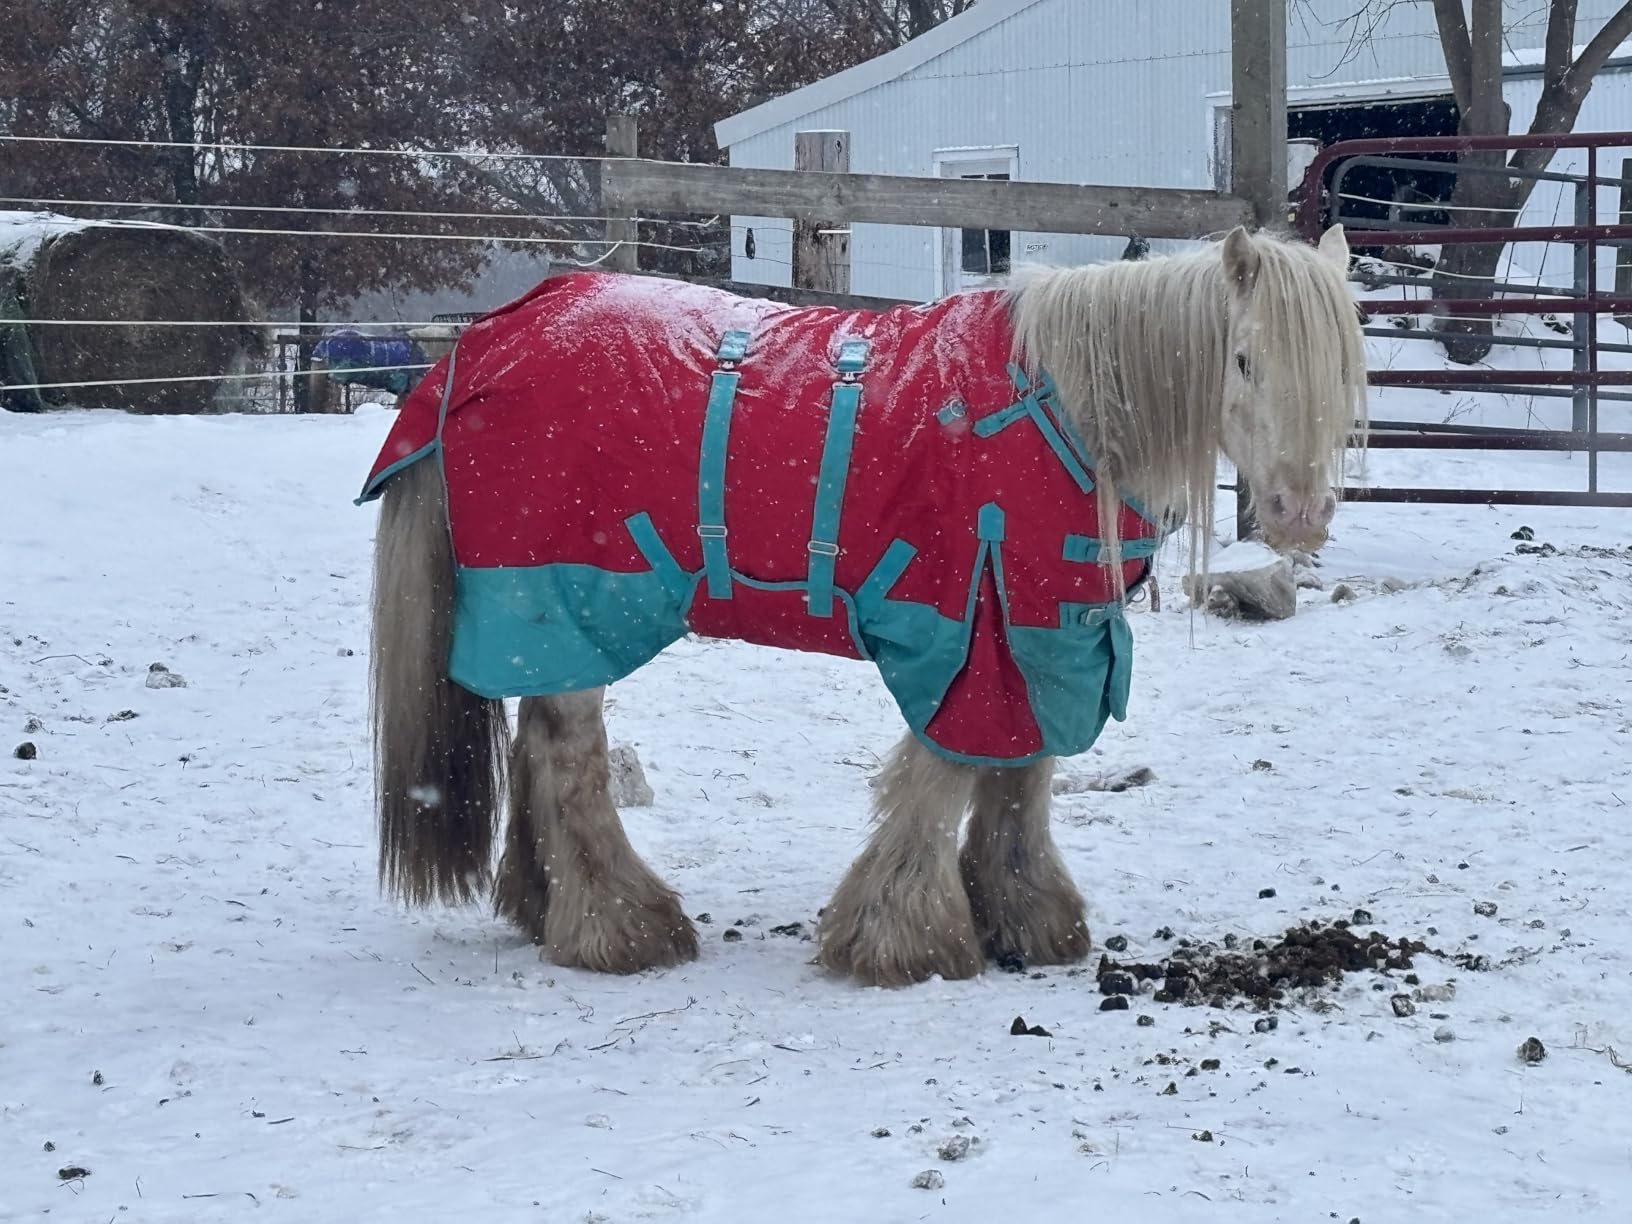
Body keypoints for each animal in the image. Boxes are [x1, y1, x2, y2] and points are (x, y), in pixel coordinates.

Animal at [360, 223, 1366, 988]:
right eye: (1244, 360)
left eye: (1345, 375)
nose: (1300, 513)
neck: (1062, 413)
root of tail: (484, 344)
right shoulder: (974, 631)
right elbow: (944, 774)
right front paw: (902, 937)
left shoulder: (1047, 631)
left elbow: (1022, 775)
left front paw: (1026, 920)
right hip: (566, 600)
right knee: (570, 758)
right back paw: (625, 927)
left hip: (549, 620)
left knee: (537, 741)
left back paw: (547, 908)